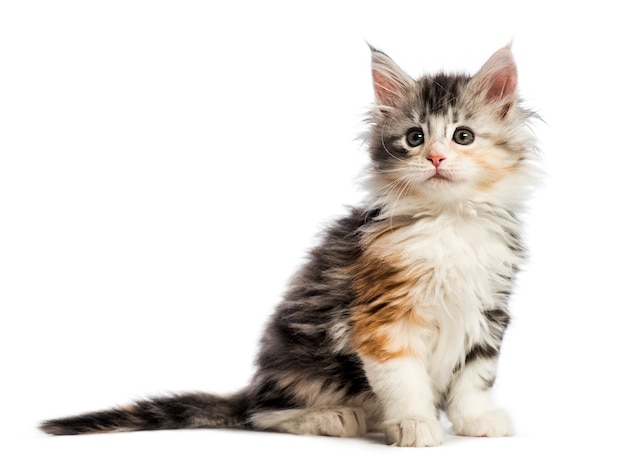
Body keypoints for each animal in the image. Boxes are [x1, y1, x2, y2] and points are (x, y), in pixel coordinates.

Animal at [39, 43, 536, 446]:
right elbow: (403, 379)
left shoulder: (488, 310)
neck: (448, 220)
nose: (434, 158)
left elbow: (475, 376)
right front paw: (415, 424)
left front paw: (475, 420)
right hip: (299, 367)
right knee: (262, 415)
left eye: (463, 136)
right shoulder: (382, 317)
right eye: (415, 138)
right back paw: (337, 416)